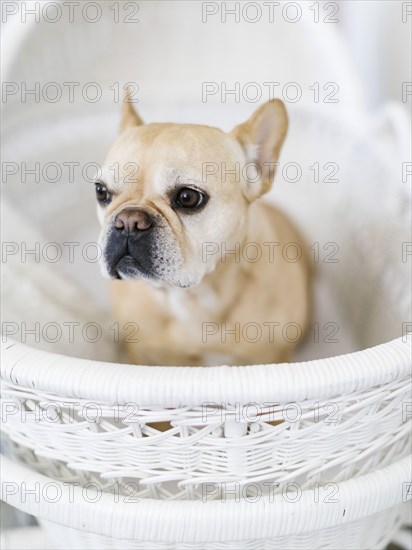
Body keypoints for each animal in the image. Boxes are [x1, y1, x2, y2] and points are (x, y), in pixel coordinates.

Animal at [96, 97, 308, 368]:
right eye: (101, 192)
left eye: (188, 197)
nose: (128, 221)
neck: (192, 300)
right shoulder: (140, 352)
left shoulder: (274, 355)